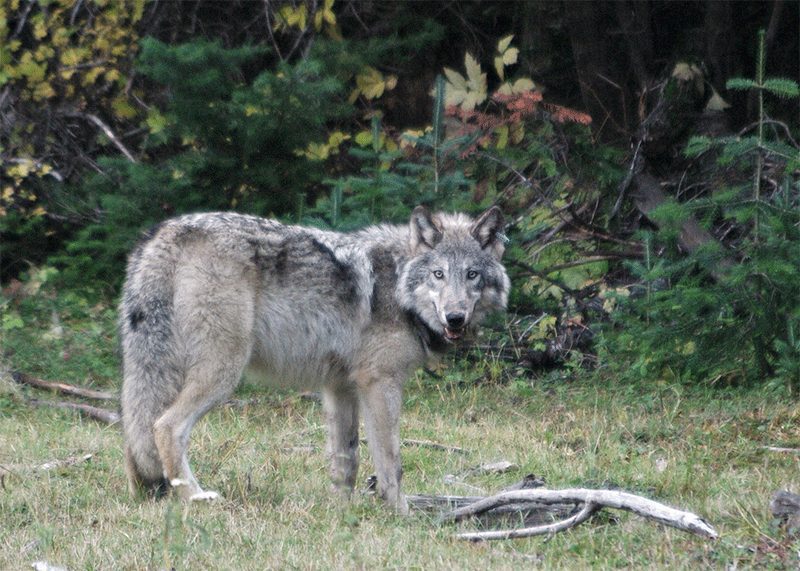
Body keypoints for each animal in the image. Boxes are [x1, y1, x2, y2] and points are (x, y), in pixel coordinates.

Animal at [120, 205, 510, 512]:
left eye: (472, 275)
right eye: (438, 274)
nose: (455, 318)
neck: (398, 286)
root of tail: (169, 230)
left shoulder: (340, 386)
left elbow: (346, 459)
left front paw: (342, 513)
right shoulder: (379, 383)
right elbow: (391, 463)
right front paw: (402, 516)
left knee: (136, 429)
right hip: (223, 373)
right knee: (165, 426)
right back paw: (195, 498)